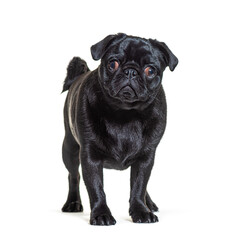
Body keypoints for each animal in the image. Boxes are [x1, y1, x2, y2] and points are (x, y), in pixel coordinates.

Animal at [60, 32, 178, 225]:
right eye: (112, 63)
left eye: (150, 70)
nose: (130, 71)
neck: (125, 113)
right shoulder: (90, 157)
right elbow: (96, 188)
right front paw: (101, 214)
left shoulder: (146, 158)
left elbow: (139, 186)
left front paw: (141, 211)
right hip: (69, 148)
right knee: (73, 176)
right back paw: (72, 203)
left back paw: (149, 204)